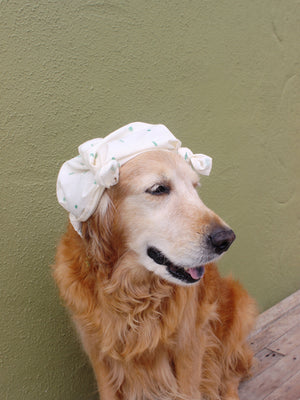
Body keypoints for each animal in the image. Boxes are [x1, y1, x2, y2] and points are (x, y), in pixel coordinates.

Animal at [53, 148, 255, 398]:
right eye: (159, 189)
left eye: (194, 186)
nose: (226, 239)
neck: (132, 291)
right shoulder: (98, 355)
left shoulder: (189, 345)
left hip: (240, 306)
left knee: (233, 371)